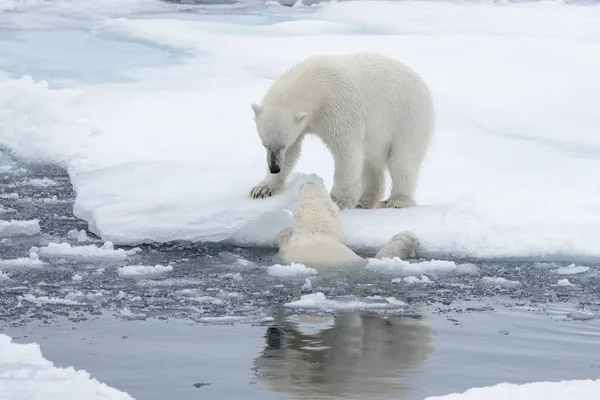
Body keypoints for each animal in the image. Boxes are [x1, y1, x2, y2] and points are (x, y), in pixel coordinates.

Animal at [251, 51, 434, 209]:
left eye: (282, 145)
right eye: (265, 145)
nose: (274, 167)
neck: (316, 84)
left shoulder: (339, 107)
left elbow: (346, 150)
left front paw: (338, 200)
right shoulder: (303, 123)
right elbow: (293, 150)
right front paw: (262, 189)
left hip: (407, 119)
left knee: (402, 160)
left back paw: (396, 201)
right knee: (370, 163)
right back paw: (365, 201)